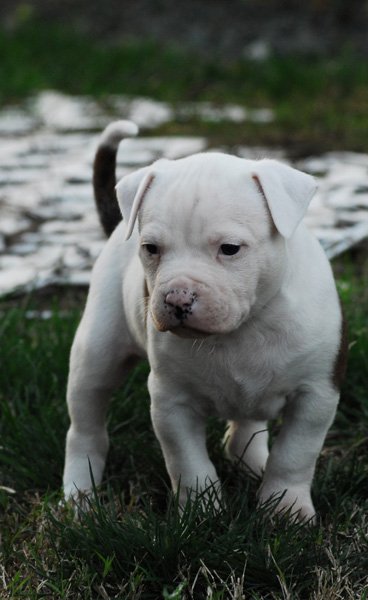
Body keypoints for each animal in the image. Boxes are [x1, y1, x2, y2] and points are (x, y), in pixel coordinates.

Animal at [61, 120, 346, 520]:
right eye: (151, 249)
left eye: (230, 249)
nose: (177, 297)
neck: (244, 327)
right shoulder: (171, 401)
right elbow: (188, 462)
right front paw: (201, 511)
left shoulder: (317, 392)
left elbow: (295, 453)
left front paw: (285, 508)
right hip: (97, 350)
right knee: (85, 424)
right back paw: (80, 494)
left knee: (246, 427)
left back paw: (253, 465)